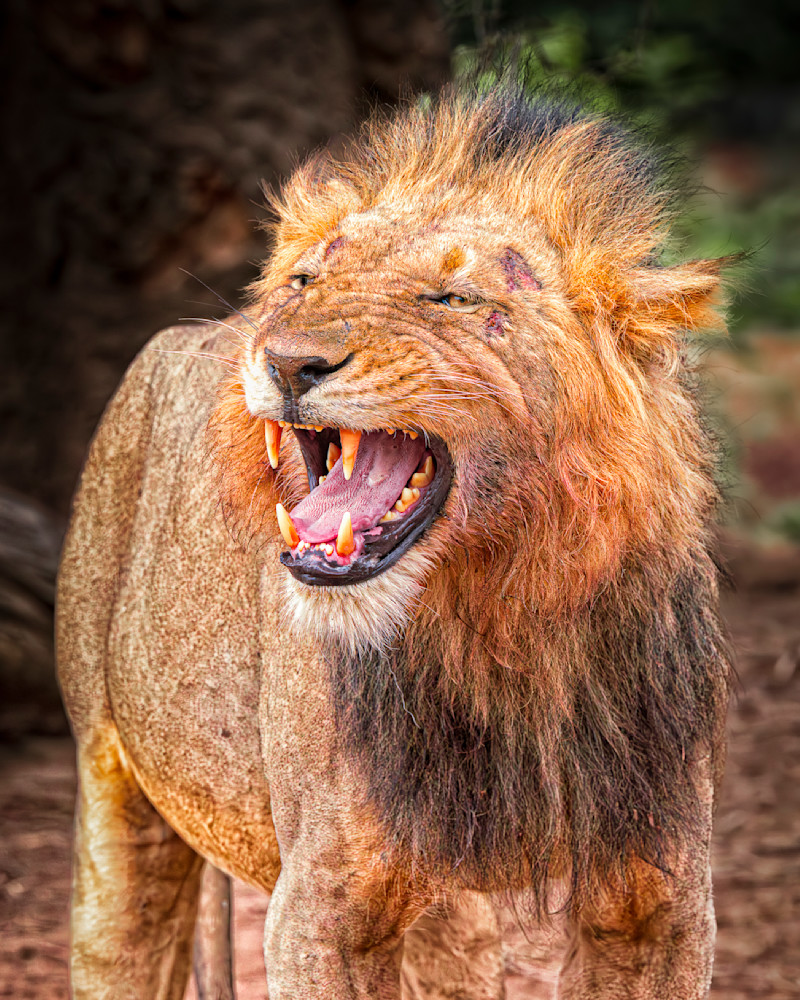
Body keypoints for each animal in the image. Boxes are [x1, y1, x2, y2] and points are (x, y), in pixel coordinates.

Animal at [57, 86, 731, 999]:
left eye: (450, 300)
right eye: (304, 282)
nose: (288, 361)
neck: (503, 625)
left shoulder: (659, 902)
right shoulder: (320, 905)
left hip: (453, 914)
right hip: (112, 790)